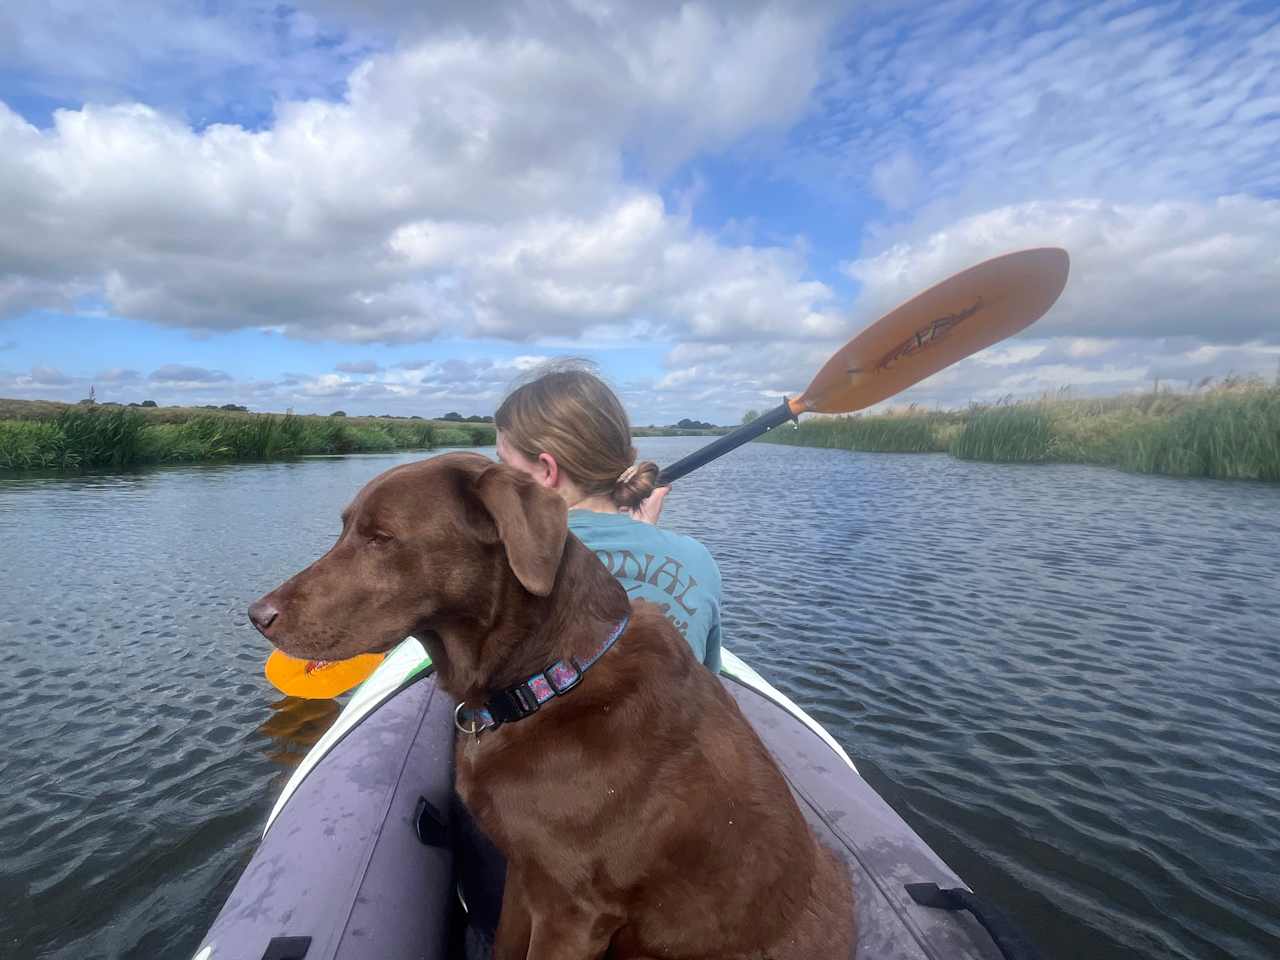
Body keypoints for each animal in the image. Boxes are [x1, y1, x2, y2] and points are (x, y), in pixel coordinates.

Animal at [248, 455, 849, 957]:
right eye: (346, 529)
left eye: (380, 537)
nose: (257, 615)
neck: (549, 680)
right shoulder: (527, 876)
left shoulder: (574, 914)